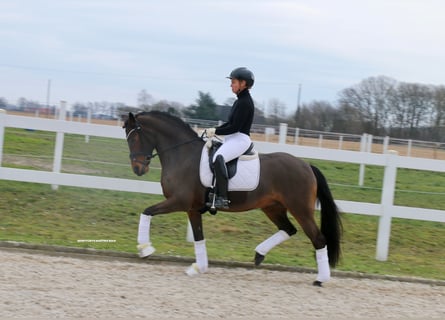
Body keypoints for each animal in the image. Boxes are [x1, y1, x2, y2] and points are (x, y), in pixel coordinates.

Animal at [123, 111, 342, 286]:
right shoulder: (192, 209)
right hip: (273, 207)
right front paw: (199, 267)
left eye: (134, 138)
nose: (138, 169)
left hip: (300, 209)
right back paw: (259, 254)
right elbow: (198, 237)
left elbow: (147, 212)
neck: (182, 155)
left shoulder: (179, 202)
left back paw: (320, 279)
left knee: (318, 238)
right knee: (288, 229)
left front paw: (145, 249)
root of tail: (306, 165)